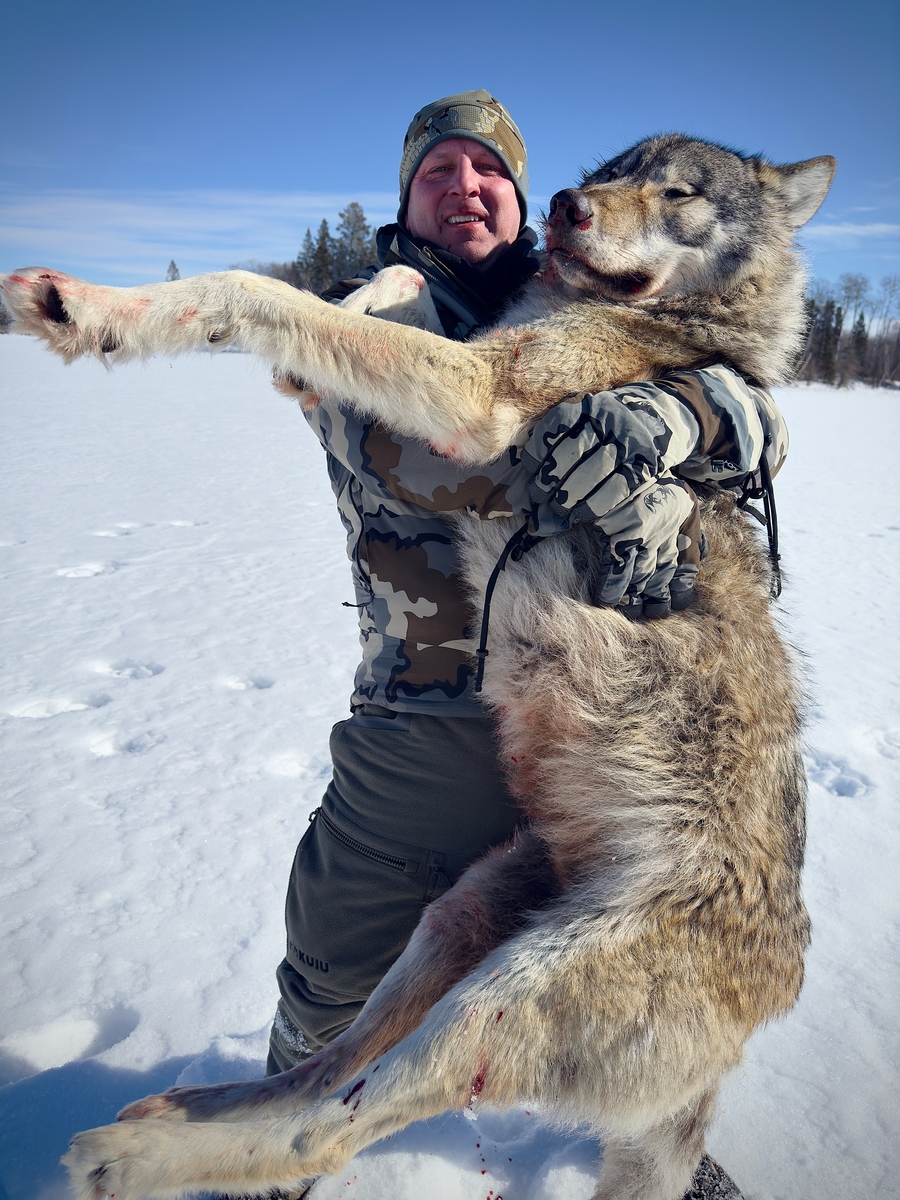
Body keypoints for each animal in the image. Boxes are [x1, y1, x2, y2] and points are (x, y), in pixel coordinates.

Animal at [1, 135, 834, 1200]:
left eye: (678, 191)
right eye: (609, 166)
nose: (563, 206)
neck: (672, 330)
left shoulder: (481, 398)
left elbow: (253, 289)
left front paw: (86, 306)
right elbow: (364, 293)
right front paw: (366, 294)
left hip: (499, 1003)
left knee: (329, 1129)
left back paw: (134, 1156)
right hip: (457, 922)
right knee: (324, 1067)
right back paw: (182, 1112)